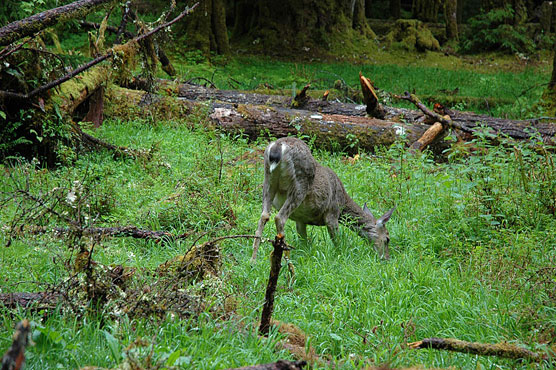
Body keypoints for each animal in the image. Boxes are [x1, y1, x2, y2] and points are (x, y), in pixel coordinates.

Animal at [252, 137, 396, 262]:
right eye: (387, 238)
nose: (386, 258)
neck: (343, 203)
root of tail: (277, 147)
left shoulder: (300, 220)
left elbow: (303, 240)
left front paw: (306, 253)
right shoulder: (332, 212)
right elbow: (336, 240)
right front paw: (340, 255)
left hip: (268, 180)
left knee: (264, 215)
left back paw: (253, 260)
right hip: (299, 185)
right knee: (279, 218)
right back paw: (286, 258)